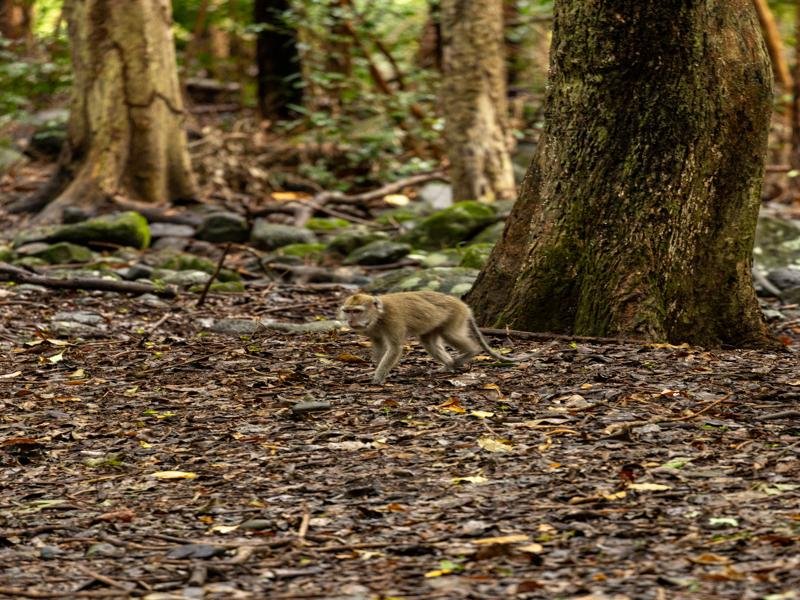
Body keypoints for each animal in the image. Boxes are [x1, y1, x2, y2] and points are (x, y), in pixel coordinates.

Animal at [338, 291, 522, 384]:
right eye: (347, 311)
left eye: (357, 311)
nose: (350, 321)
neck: (378, 315)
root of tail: (462, 304)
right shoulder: (372, 330)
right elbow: (379, 346)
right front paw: (376, 371)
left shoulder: (393, 320)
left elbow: (394, 348)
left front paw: (378, 377)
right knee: (428, 341)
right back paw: (448, 365)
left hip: (455, 315)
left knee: (450, 335)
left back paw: (468, 353)